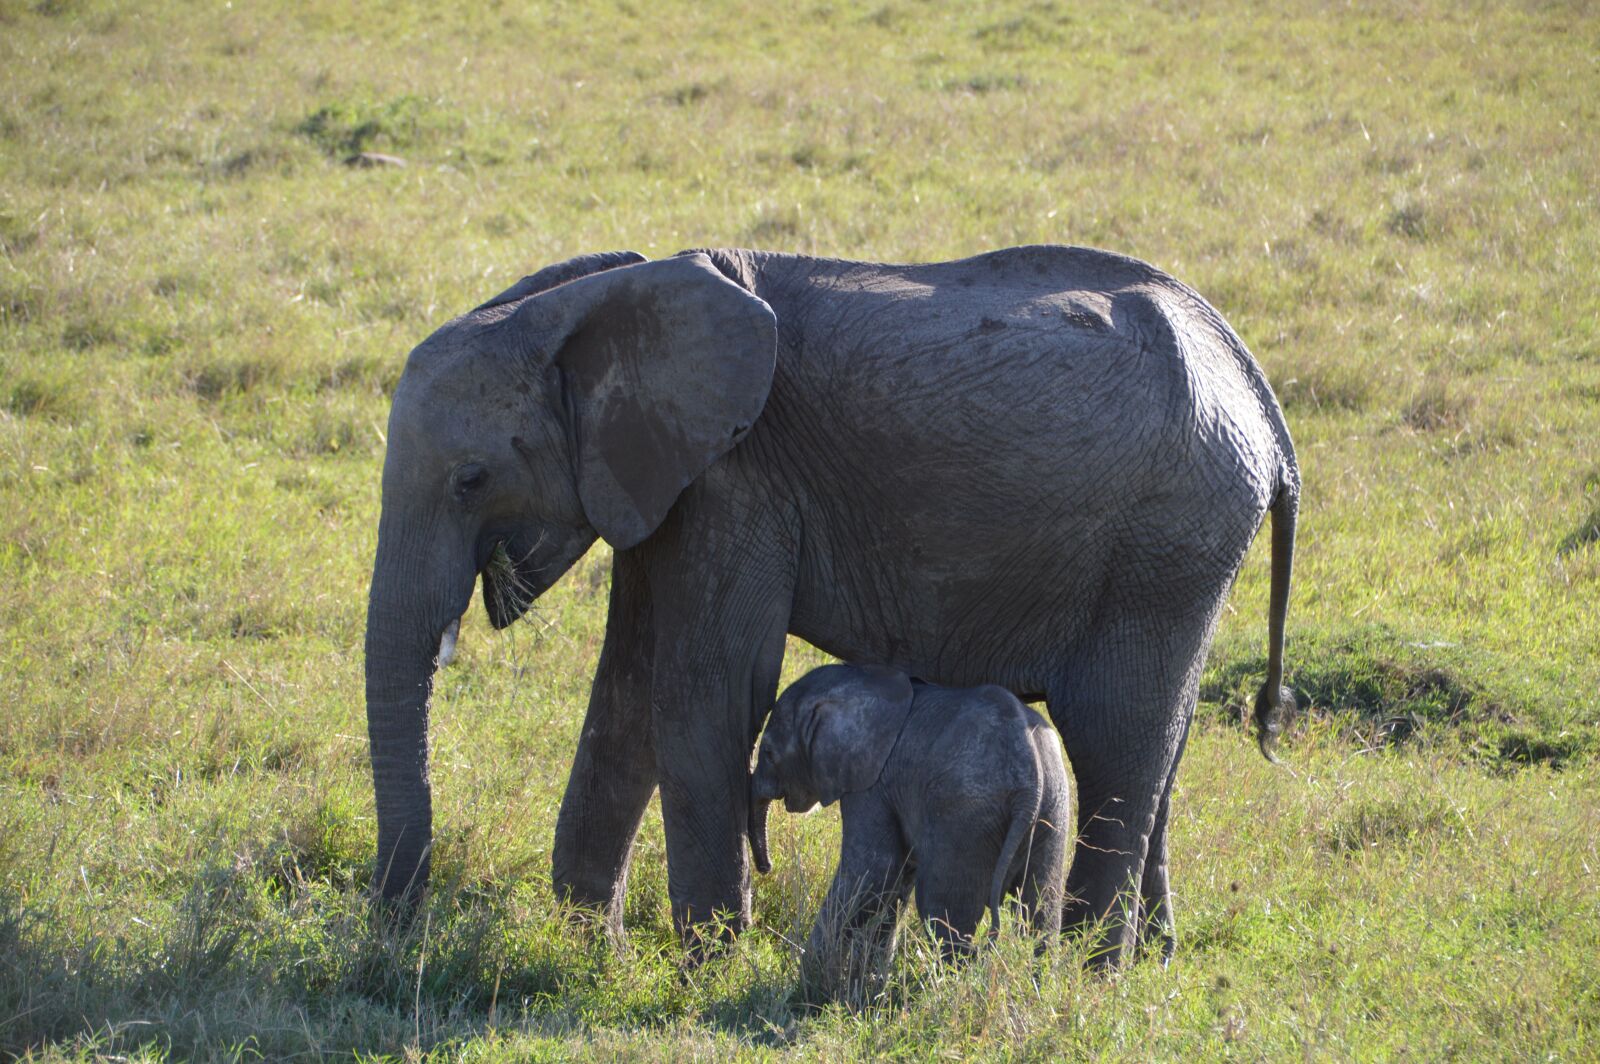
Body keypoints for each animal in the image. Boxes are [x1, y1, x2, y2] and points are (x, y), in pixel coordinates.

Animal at [746, 664, 1070, 984]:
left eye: (769, 753)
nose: (766, 867)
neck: (861, 679)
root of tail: (1031, 780)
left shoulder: (872, 784)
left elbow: (874, 873)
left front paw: (809, 978)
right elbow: (897, 881)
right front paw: (870, 981)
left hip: (965, 814)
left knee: (942, 911)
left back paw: (947, 988)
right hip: (1052, 809)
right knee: (1042, 911)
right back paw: (1037, 985)